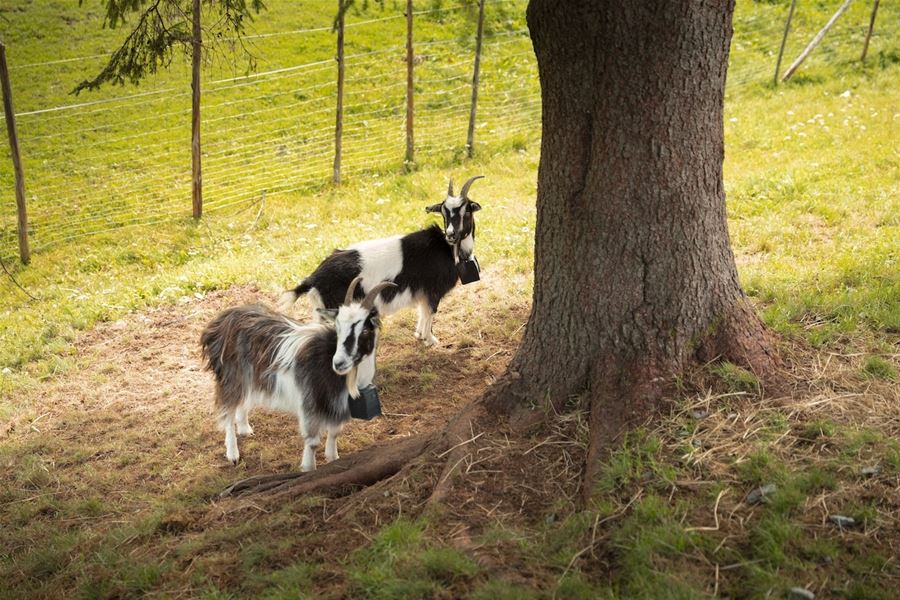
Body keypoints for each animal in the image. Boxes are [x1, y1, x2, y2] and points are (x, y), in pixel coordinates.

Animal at [200, 277, 395, 470]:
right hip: (232, 377)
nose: (338, 363)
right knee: (228, 411)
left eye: (365, 330)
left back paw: (244, 428)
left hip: (249, 378)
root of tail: (224, 319)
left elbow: (334, 433)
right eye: (338, 327)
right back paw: (233, 454)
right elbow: (313, 442)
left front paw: (333, 458)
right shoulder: (310, 404)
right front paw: (309, 468)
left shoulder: (337, 405)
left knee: (243, 401)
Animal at [278, 175, 484, 347]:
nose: (451, 235)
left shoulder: (422, 292)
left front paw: (419, 335)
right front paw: (430, 340)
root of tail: (312, 280)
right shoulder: (433, 290)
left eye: (466, 211)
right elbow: (430, 313)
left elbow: (422, 312)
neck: (446, 248)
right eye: (443, 212)